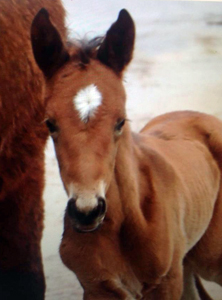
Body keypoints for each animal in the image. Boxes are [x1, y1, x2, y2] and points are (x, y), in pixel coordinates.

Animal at [30, 8, 222, 298]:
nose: (87, 212)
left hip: (209, 259)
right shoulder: (96, 287)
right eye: (50, 124)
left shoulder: (166, 282)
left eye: (120, 122)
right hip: (187, 264)